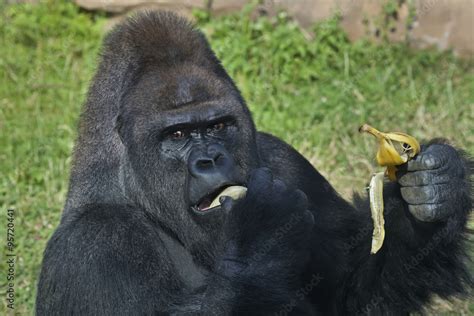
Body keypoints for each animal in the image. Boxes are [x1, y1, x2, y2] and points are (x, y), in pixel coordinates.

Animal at [36, 11, 470, 314]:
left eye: (218, 126)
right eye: (177, 135)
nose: (211, 159)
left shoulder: (285, 160)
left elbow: (350, 294)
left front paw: (436, 190)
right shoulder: (96, 241)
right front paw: (263, 232)